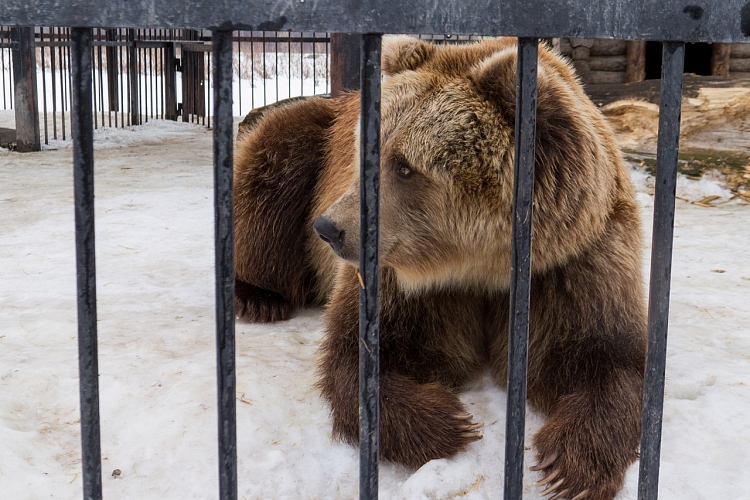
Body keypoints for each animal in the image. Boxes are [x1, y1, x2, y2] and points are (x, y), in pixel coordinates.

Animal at [234, 36, 648, 500]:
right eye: (367, 155)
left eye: (404, 166)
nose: (329, 228)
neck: (483, 264)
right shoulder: (406, 278)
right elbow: (363, 353)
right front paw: (450, 423)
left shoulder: (572, 263)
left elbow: (605, 356)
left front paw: (569, 465)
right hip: (311, 143)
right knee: (273, 168)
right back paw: (258, 296)